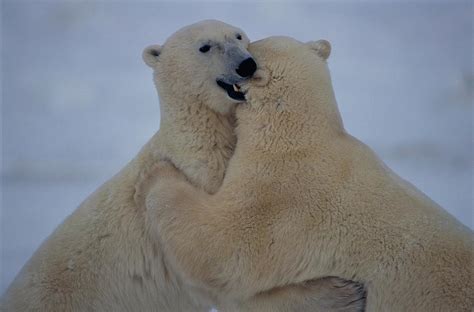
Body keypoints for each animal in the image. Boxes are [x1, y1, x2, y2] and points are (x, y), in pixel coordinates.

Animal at [148, 37, 474, 312]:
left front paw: (160, 172)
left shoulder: (279, 194)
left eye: (248, 45)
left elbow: (220, 247)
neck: (299, 135)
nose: (241, 64)